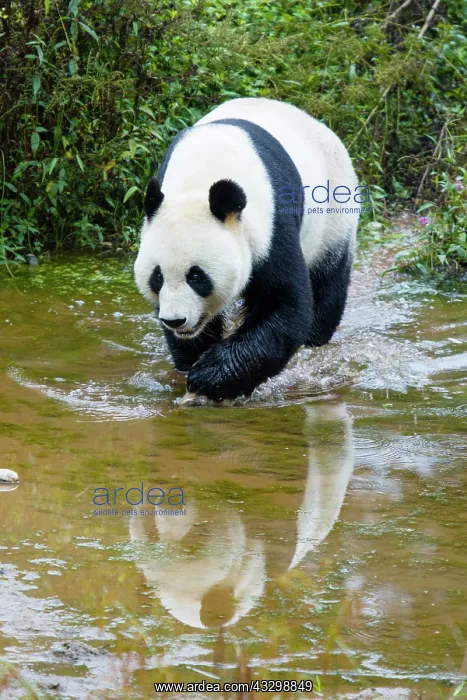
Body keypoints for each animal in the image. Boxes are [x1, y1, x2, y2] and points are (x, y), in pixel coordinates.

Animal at [134, 97, 360, 402]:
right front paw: (193, 362)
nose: (175, 320)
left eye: (197, 276)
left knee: (327, 286)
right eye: (157, 277)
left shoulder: (272, 225)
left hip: (334, 215)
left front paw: (210, 376)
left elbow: (286, 304)